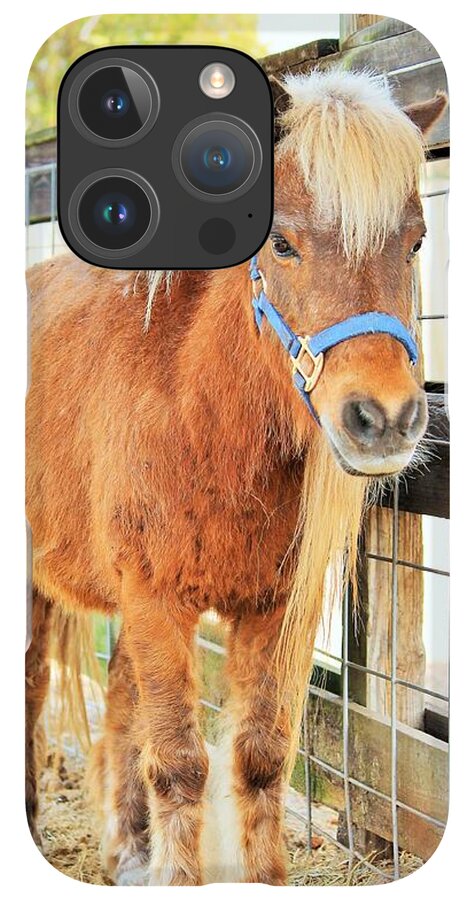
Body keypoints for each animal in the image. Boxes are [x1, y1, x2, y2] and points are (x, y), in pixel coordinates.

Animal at [25, 68, 446, 885]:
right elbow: (181, 765)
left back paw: (128, 850)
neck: (201, 410)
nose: (384, 418)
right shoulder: (156, 599)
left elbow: (259, 759)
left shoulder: (275, 610)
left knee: (119, 702)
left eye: (415, 240)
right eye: (281, 242)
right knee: (33, 685)